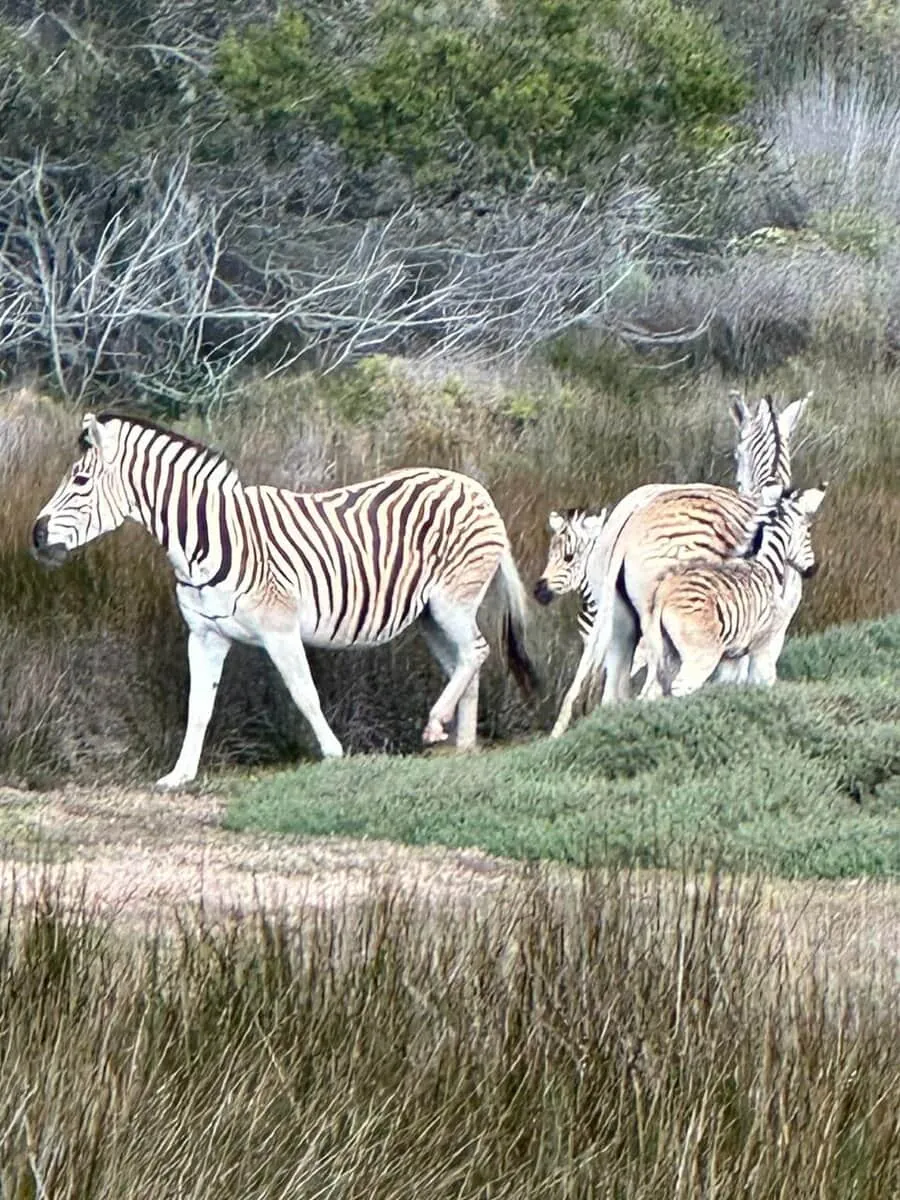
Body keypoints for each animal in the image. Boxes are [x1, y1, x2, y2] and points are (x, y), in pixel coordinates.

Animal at [31, 413, 538, 789]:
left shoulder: (280, 629)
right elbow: (198, 707)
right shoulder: (204, 634)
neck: (207, 541)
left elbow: (304, 693)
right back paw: (462, 745)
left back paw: (437, 724)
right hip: (430, 616)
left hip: (452, 601)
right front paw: (180, 775)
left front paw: (333, 753)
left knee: (476, 651)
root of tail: (476, 488)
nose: (35, 537)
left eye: (80, 481)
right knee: (464, 663)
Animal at [639, 483, 826, 699]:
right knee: (682, 687)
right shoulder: (766, 642)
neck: (767, 567)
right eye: (808, 530)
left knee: (650, 693)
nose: (813, 569)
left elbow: (730, 684)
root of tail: (664, 593)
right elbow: (763, 681)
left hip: (663, 653)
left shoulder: (732, 655)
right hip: (702, 654)